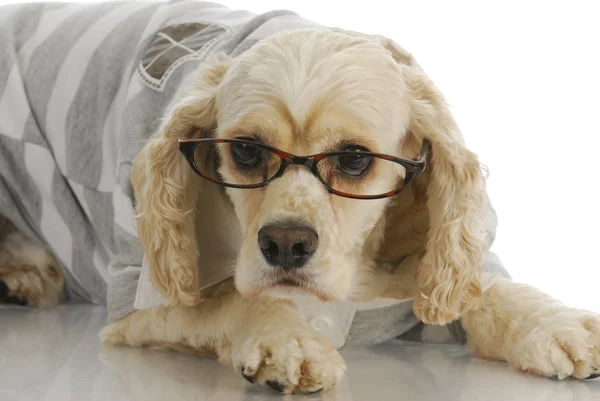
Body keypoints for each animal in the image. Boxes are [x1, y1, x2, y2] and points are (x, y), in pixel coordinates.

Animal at [0, 0, 596, 394]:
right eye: (245, 150)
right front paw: (285, 341)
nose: (285, 244)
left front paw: (554, 323)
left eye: (354, 159)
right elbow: (235, 298)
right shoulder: (137, 302)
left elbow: (482, 289)